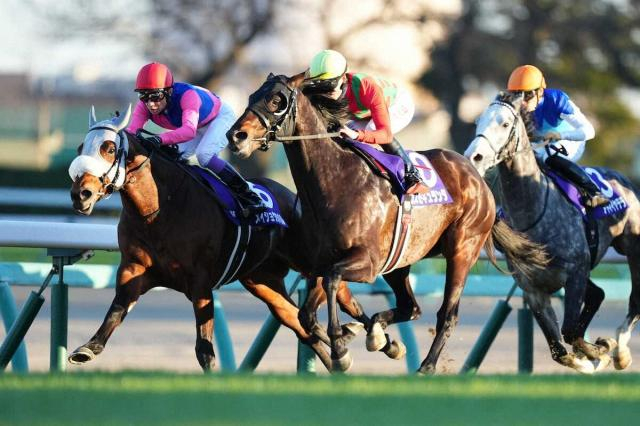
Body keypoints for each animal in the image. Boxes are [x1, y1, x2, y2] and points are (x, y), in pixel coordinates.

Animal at [67, 105, 358, 371]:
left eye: (109, 148)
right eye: (80, 147)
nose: (81, 193)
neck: (159, 210)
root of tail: (291, 196)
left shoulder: (201, 282)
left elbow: (204, 348)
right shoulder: (134, 270)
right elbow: (115, 312)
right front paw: (88, 348)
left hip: (305, 257)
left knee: (330, 284)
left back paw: (350, 321)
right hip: (262, 280)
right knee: (298, 322)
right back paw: (340, 359)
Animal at [225, 72, 548, 373]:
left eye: (276, 100)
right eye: (253, 95)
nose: (236, 136)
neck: (335, 180)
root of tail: (476, 176)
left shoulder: (366, 263)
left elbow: (332, 282)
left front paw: (341, 348)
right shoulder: (321, 261)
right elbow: (308, 311)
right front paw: (364, 339)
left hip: (462, 249)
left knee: (447, 313)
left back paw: (426, 366)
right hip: (400, 260)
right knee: (411, 307)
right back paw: (381, 334)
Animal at [464, 92, 640, 373]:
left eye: (505, 124)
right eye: (477, 122)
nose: (474, 156)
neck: (534, 210)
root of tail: (624, 180)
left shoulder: (576, 272)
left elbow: (570, 332)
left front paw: (603, 350)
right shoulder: (534, 289)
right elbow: (559, 350)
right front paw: (591, 359)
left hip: (632, 247)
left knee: (634, 300)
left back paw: (621, 351)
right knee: (598, 294)